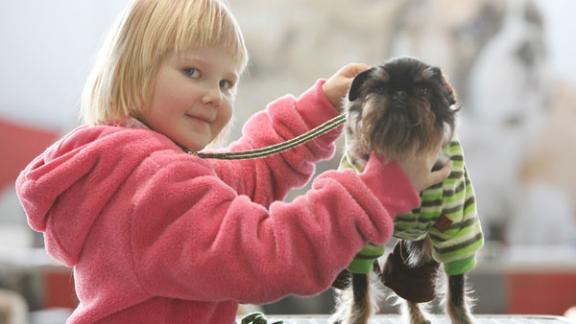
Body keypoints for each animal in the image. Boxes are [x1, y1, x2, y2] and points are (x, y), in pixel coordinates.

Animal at [330, 57, 484, 324]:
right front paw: (355, 318)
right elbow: (360, 293)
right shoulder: (362, 244)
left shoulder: (457, 234)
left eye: (423, 90)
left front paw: (462, 319)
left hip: (419, 251)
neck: (402, 150)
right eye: (380, 88)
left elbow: (456, 291)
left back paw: (417, 316)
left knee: (409, 283)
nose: (400, 94)